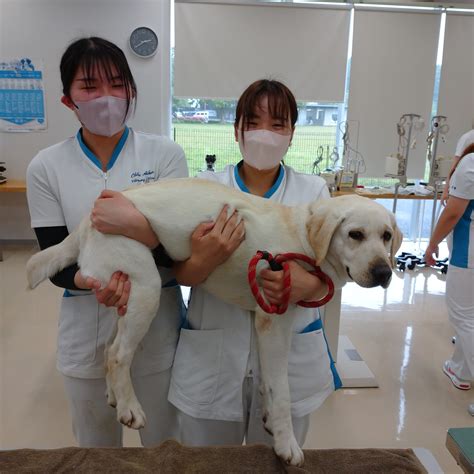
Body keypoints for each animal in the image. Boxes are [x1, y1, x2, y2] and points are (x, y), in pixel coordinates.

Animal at [26, 179, 400, 466]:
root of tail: (85, 223)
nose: (384, 272)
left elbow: (268, 380)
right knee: (118, 355)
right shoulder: (274, 321)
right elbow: (282, 390)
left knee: (108, 349)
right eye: (354, 234)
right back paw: (131, 408)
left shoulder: (264, 323)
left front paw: (268, 417)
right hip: (146, 289)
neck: (303, 238)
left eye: (385, 236)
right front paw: (286, 444)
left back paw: (115, 395)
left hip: (127, 298)